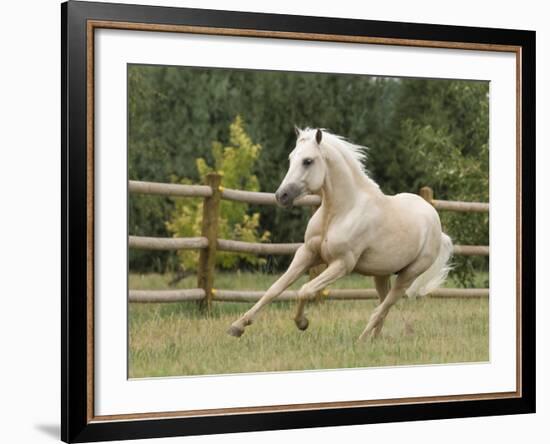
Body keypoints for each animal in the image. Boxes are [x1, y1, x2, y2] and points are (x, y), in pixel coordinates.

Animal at [229, 127, 452, 340]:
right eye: (291, 158)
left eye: (308, 161)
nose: (281, 196)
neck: (340, 212)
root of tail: (435, 223)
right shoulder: (307, 253)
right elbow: (275, 288)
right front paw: (237, 326)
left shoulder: (342, 264)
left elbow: (305, 290)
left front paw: (302, 323)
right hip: (381, 274)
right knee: (383, 305)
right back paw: (374, 339)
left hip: (408, 274)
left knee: (383, 307)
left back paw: (362, 340)